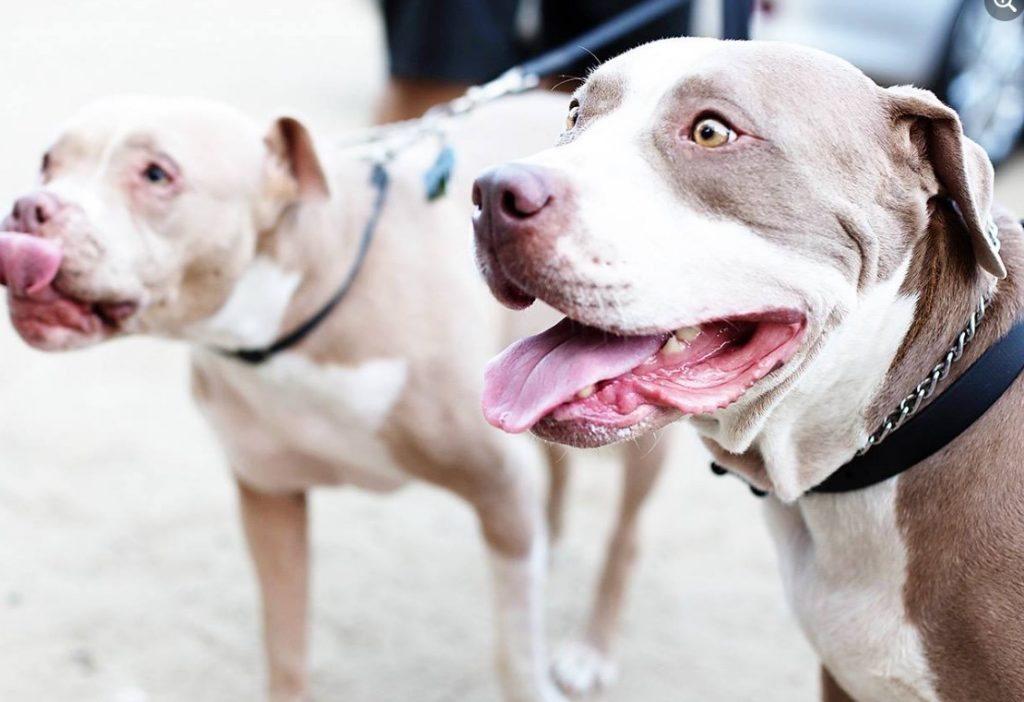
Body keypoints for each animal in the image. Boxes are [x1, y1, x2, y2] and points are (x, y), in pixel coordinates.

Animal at [0, 94, 667, 702]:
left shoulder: (497, 486)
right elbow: (285, 644)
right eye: (47, 163)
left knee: (627, 536)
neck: (292, 321)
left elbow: (515, 659)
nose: (30, 209)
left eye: (157, 174)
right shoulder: (269, 497)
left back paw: (590, 649)